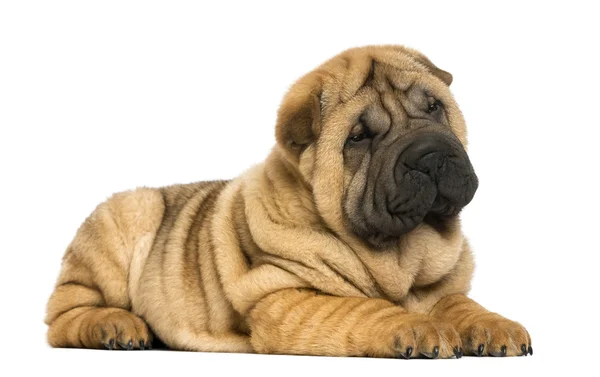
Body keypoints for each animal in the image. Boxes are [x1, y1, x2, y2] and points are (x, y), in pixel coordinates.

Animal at [48, 45, 536, 356]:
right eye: (359, 137)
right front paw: (415, 326)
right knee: (63, 315)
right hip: (129, 214)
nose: (430, 154)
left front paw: (497, 326)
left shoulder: (440, 285)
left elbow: (460, 303)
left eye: (434, 107)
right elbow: (364, 308)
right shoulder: (284, 296)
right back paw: (116, 325)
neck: (403, 255)